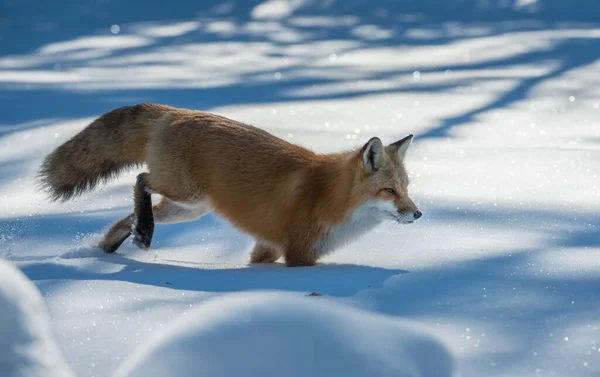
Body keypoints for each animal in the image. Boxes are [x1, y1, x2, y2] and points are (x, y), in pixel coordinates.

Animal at [38, 104, 422, 266]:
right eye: (389, 191)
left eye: (406, 188)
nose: (418, 215)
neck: (330, 197)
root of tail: (175, 111)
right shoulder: (299, 254)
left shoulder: (267, 247)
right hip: (186, 193)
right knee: (141, 180)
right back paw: (143, 234)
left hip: (189, 209)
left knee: (127, 216)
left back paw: (113, 245)